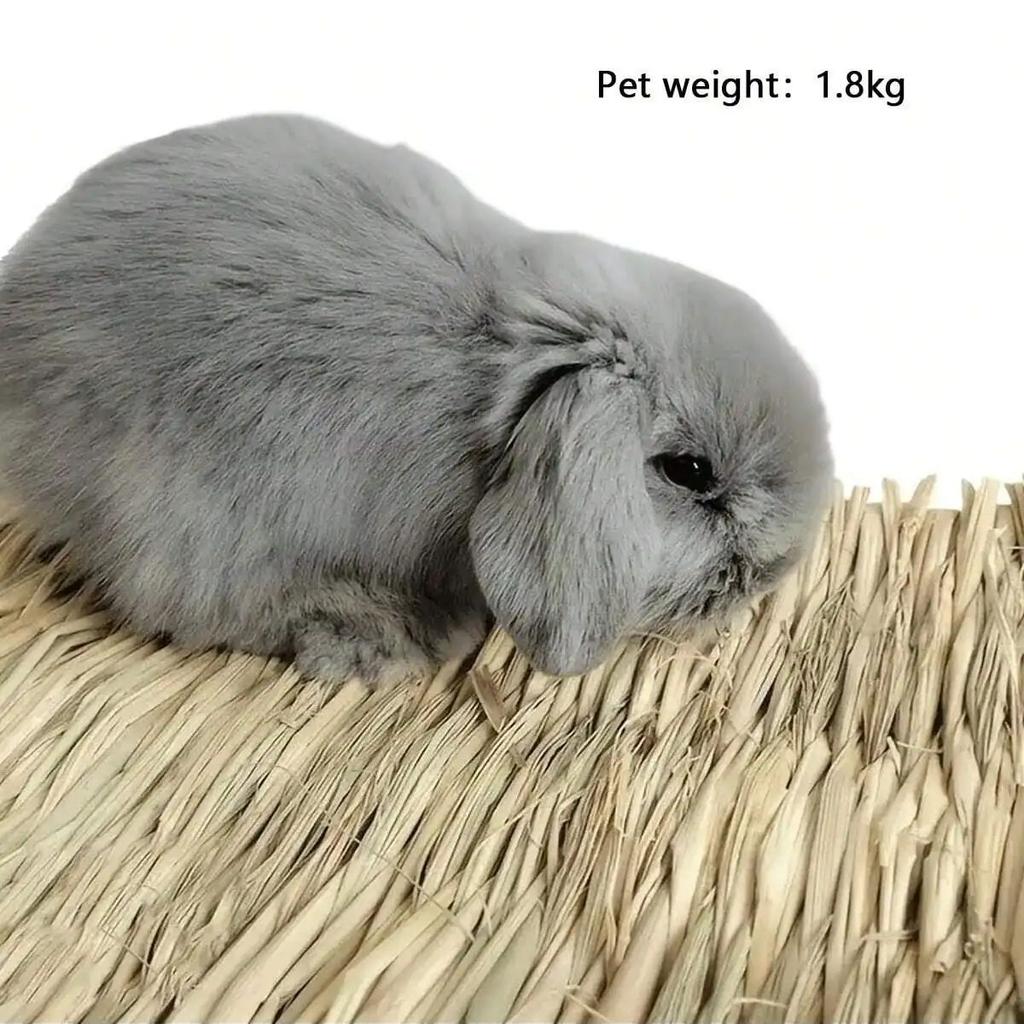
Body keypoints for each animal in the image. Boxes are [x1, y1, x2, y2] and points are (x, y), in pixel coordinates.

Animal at [0, 113, 832, 686]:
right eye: (689, 472)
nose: (777, 570)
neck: (505, 380)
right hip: (180, 513)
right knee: (196, 605)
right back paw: (384, 635)